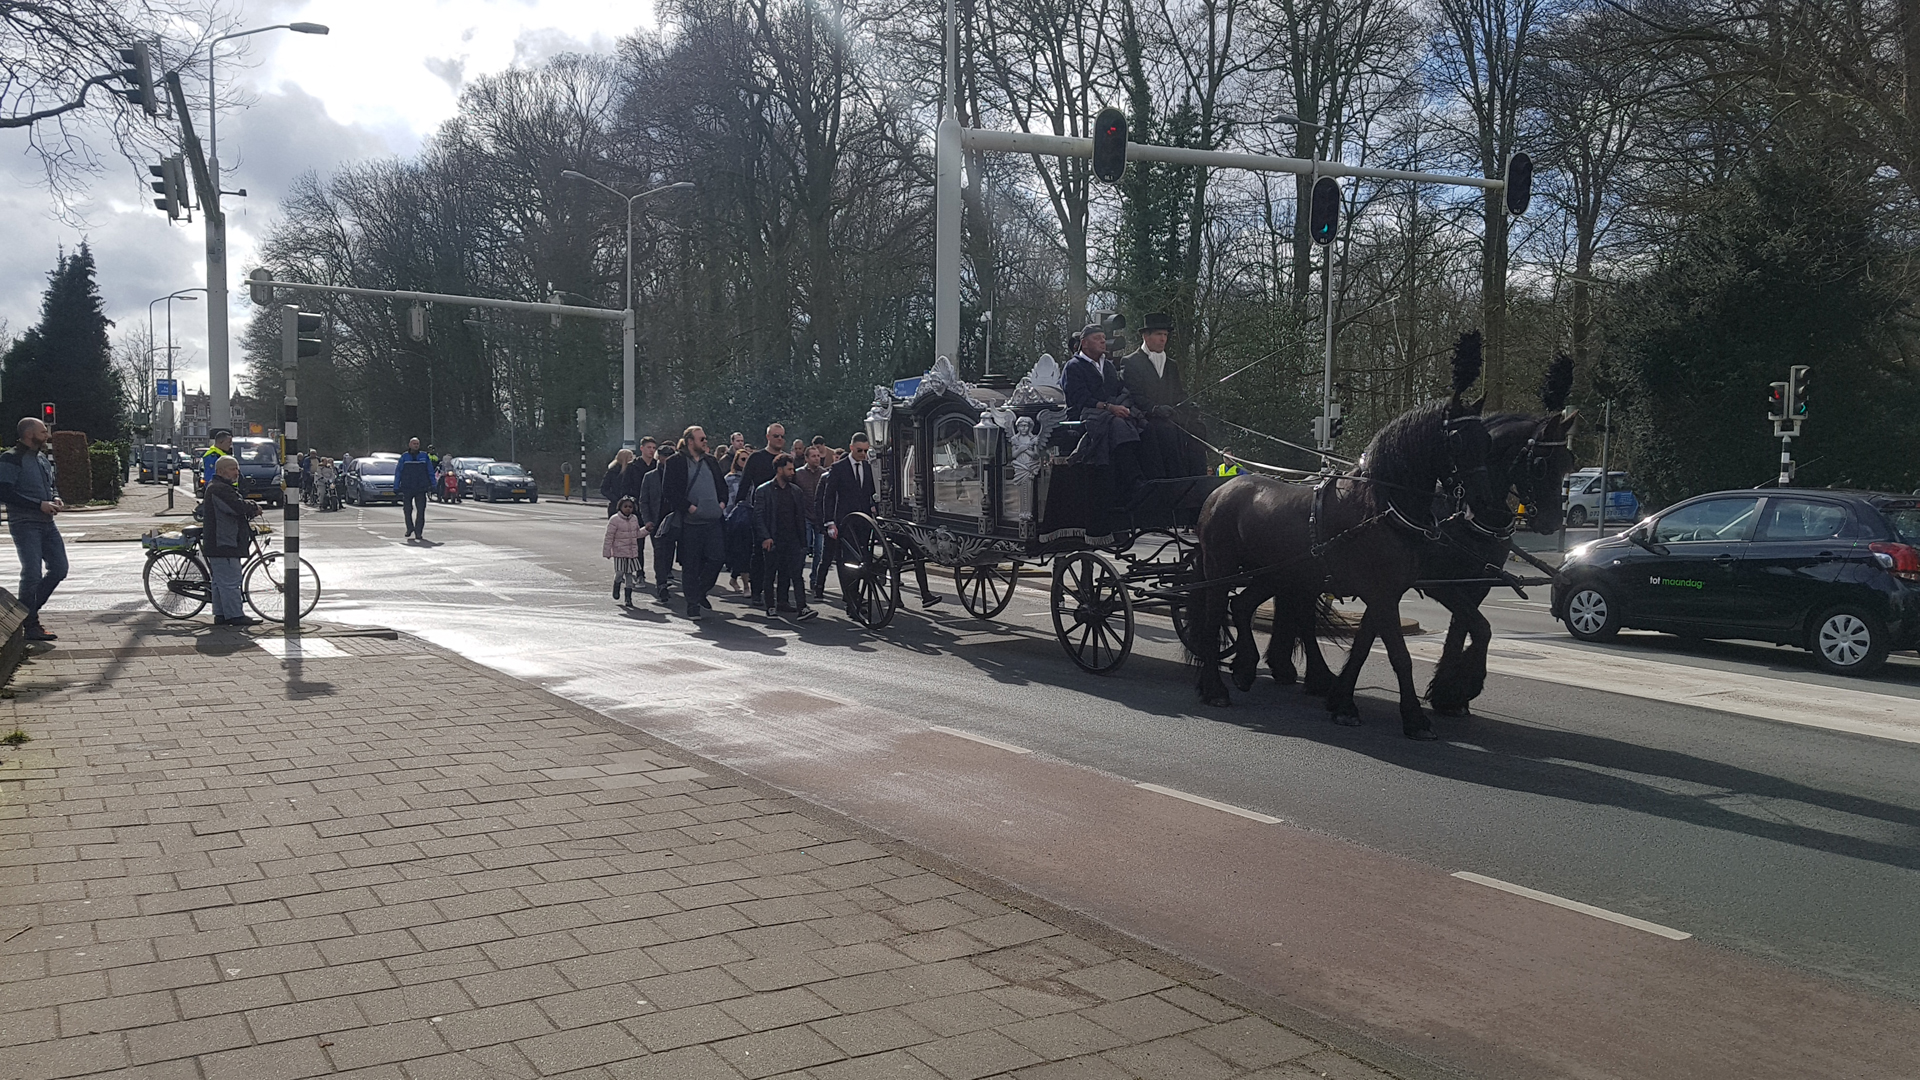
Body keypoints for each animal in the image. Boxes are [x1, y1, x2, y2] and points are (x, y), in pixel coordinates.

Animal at [1190, 332, 1505, 734]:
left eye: (1488, 442)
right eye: (1458, 441)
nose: (1485, 500)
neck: (1381, 506)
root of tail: (1220, 491)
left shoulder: (1386, 592)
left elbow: (1364, 647)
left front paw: (1343, 702)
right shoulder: (1382, 592)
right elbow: (1399, 655)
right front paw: (1415, 718)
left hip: (1274, 573)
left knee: (1241, 606)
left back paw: (1245, 668)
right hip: (1221, 569)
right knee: (1215, 616)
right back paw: (1215, 687)